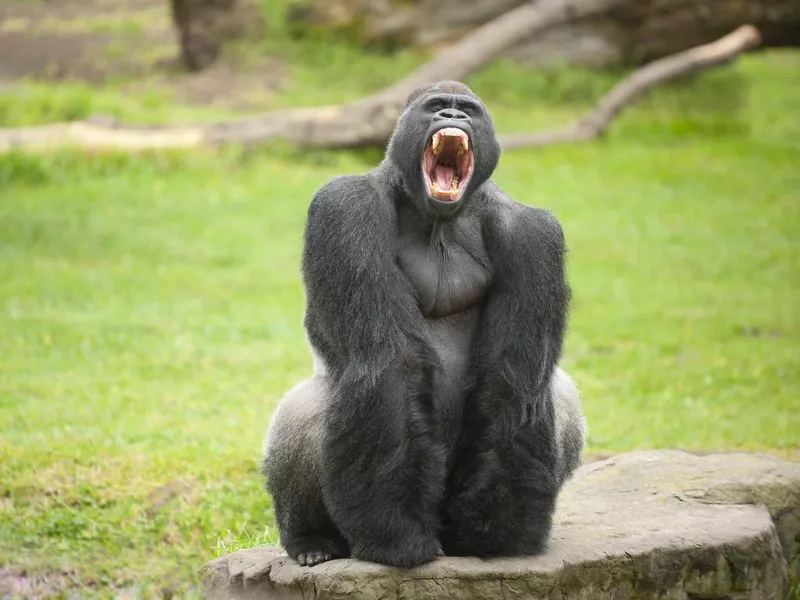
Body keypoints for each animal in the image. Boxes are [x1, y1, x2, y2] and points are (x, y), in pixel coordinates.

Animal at [266, 82, 584, 568]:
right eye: (435, 108)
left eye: (468, 111)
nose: (452, 116)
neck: (438, 219)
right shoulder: (344, 207)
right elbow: (394, 364)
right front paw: (395, 534)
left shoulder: (535, 233)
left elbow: (511, 380)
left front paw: (497, 530)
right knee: (306, 405)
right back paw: (310, 538)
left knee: (558, 392)